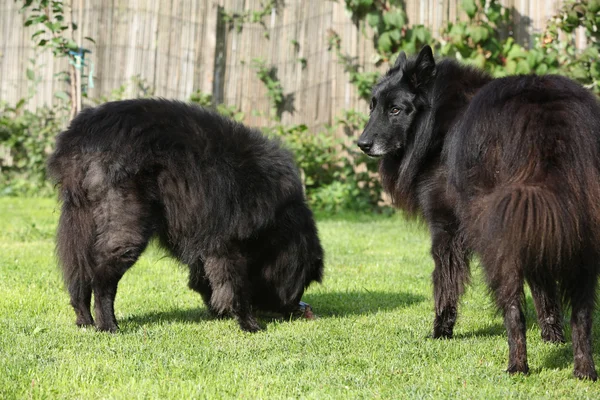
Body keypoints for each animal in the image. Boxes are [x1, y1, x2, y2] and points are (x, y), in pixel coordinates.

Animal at [48, 98, 324, 332]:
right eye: (302, 285)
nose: (302, 307)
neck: (282, 219)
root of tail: (82, 133)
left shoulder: (206, 240)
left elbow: (206, 279)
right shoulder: (229, 242)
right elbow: (235, 285)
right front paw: (248, 324)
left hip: (81, 221)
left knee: (78, 273)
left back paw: (85, 321)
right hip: (128, 225)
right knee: (102, 277)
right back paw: (108, 325)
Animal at [358, 45, 600, 380]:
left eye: (395, 110)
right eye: (373, 107)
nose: (362, 144)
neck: (439, 122)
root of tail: (546, 115)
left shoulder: (446, 229)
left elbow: (444, 285)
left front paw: (440, 332)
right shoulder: (537, 226)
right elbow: (544, 292)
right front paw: (552, 338)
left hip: (499, 237)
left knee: (513, 310)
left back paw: (517, 366)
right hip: (579, 232)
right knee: (582, 313)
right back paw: (584, 370)